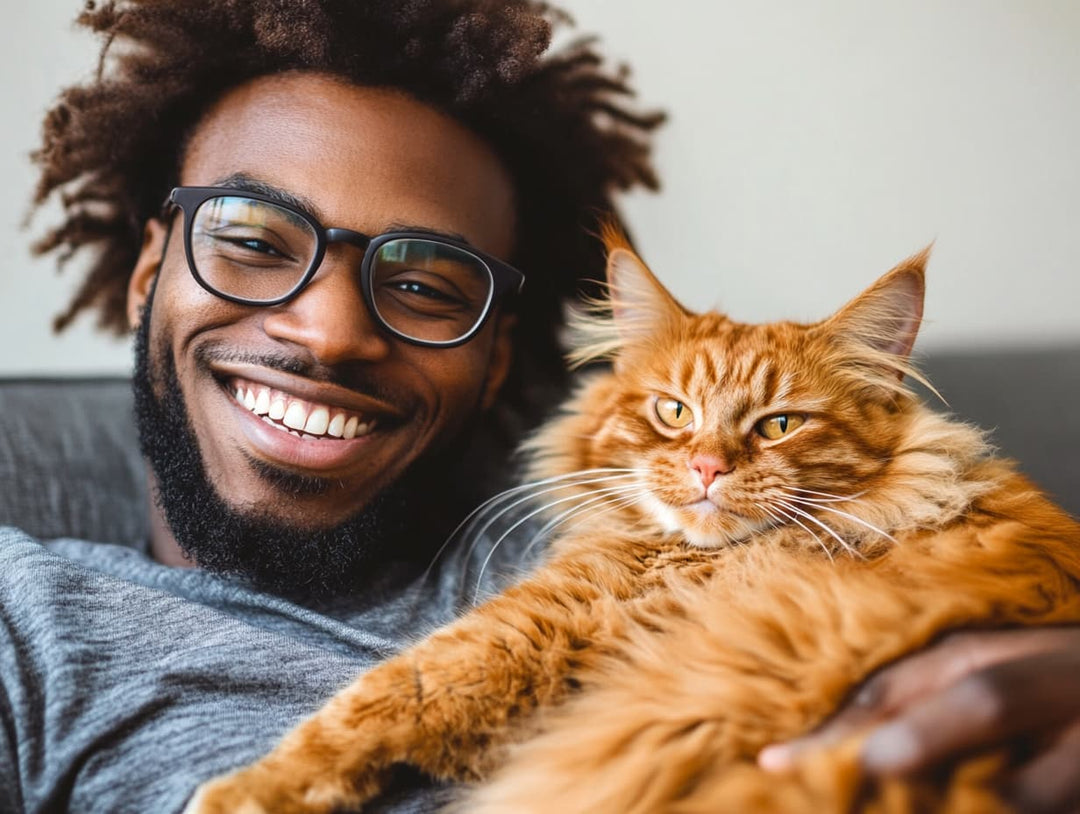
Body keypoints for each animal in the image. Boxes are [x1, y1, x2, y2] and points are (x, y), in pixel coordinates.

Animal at [185, 234, 1080, 811]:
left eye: (780, 426)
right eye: (673, 411)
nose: (709, 467)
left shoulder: (527, 631)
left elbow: (363, 706)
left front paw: (239, 793)